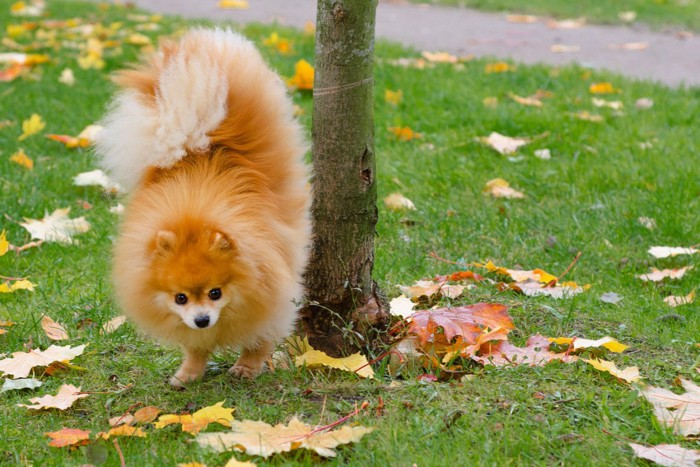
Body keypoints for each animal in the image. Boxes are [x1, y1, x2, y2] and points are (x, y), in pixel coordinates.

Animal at [95, 28, 312, 388]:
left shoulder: (272, 297)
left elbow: (261, 338)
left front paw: (247, 367)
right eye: (180, 298)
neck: (192, 217)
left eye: (215, 293)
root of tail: (199, 141)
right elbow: (195, 348)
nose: (201, 319)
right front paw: (189, 373)